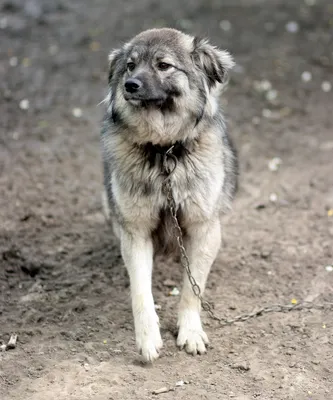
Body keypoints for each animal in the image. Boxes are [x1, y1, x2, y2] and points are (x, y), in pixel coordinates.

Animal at [100, 28, 237, 362]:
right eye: (130, 66)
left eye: (163, 66)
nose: (130, 85)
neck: (164, 151)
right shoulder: (135, 231)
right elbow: (140, 291)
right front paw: (147, 338)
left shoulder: (204, 228)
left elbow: (192, 289)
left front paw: (190, 332)